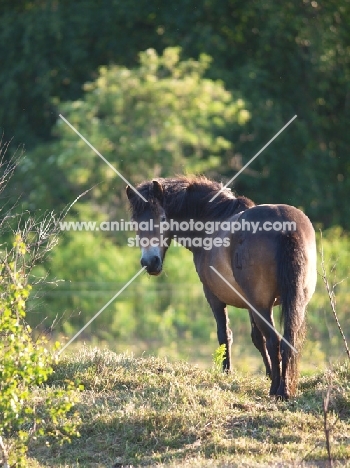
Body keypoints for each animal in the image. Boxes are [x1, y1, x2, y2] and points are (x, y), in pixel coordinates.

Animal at [126, 176, 318, 398]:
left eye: (163, 218)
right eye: (135, 222)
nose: (150, 263)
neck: (210, 224)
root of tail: (286, 228)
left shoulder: (214, 297)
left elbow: (225, 334)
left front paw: (227, 373)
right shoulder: (250, 304)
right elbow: (256, 338)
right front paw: (268, 373)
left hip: (262, 305)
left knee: (274, 340)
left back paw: (277, 390)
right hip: (295, 303)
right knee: (288, 340)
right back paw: (284, 389)